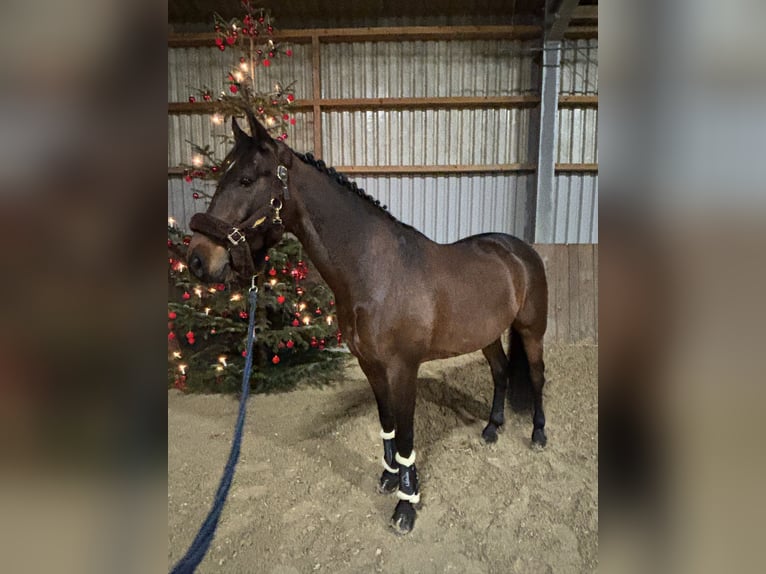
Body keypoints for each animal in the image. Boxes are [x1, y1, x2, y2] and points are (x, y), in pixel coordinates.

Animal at [186, 112, 549, 534]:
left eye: (246, 180)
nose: (198, 260)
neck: (376, 273)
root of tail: (518, 250)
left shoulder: (403, 369)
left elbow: (407, 435)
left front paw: (407, 505)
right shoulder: (371, 365)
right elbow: (387, 422)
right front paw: (390, 479)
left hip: (531, 331)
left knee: (536, 376)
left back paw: (538, 433)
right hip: (487, 335)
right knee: (501, 372)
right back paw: (492, 428)